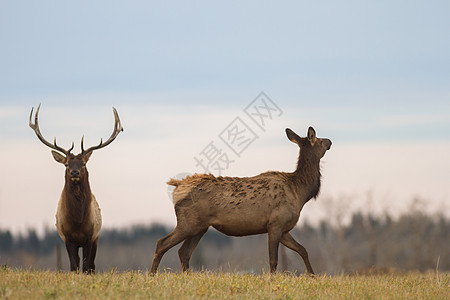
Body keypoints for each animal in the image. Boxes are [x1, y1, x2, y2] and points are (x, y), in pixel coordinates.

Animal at [29, 104, 123, 274]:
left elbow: (86, 267)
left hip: (96, 238)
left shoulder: (90, 236)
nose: (74, 172)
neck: (78, 221)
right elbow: (74, 266)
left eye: (83, 163)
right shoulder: (67, 238)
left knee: (92, 265)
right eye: (67, 164)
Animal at [151, 126, 330, 274]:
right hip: (188, 223)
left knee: (184, 252)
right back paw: (152, 274)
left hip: (200, 227)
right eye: (320, 140)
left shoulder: (284, 229)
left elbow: (303, 250)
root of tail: (177, 185)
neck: (300, 192)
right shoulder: (275, 223)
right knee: (162, 243)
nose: (330, 141)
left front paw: (312, 275)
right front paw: (273, 279)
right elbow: (273, 260)